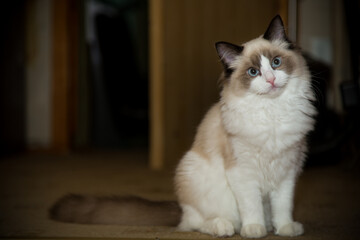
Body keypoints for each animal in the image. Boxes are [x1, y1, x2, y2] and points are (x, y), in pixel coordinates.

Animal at [50, 15, 316, 238]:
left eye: (276, 62)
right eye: (253, 72)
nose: (270, 80)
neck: (273, 113)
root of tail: (179, 208)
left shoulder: (287, 170)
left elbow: (283, 206)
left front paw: (285, 229)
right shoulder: (243, 172)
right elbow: (251, 207)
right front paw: (254, 230)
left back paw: (271, 226)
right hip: (196, 174)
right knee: (194, 222)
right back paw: (225, 227)